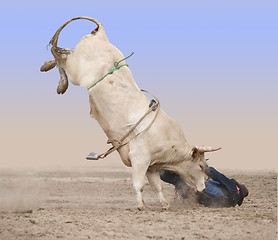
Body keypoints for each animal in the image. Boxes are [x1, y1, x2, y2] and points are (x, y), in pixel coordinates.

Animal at [40, 16, 220, 210]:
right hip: (76, 70)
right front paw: (141, 205)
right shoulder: (140, 158)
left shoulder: (152, 167)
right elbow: (139, 184)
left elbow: (157, 186)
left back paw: (49, 66)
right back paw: (59, 81)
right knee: (59, 54)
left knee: (65, 52)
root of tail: (101, 35)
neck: (169, 142)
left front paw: (164, 204)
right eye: (201, 166)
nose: (203, 189)